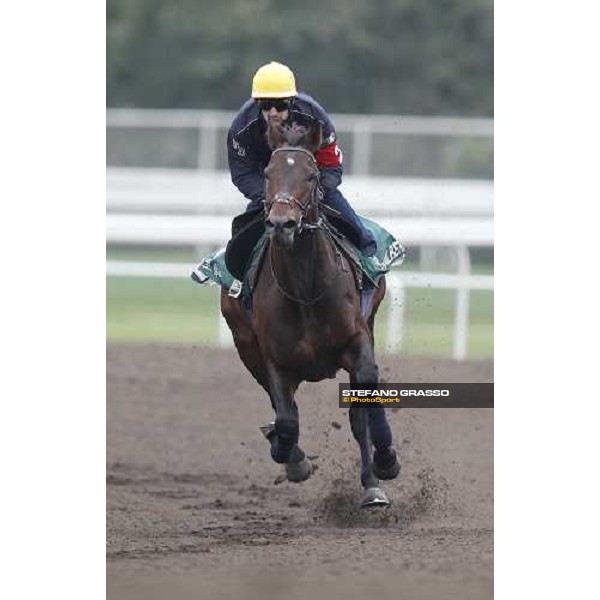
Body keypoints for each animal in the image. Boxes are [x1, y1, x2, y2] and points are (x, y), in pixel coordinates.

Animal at [220, 122, 398, 506]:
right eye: (268, 173)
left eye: (312, 175)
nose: (282, 224)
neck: (305, 290)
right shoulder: (273, 359)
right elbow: (287, 420)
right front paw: (291, 458)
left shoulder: (358, 339)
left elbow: (366, 396)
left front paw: (386, 462)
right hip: (245, 344)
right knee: (283, 411)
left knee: (358, 413)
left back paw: (372, 483)